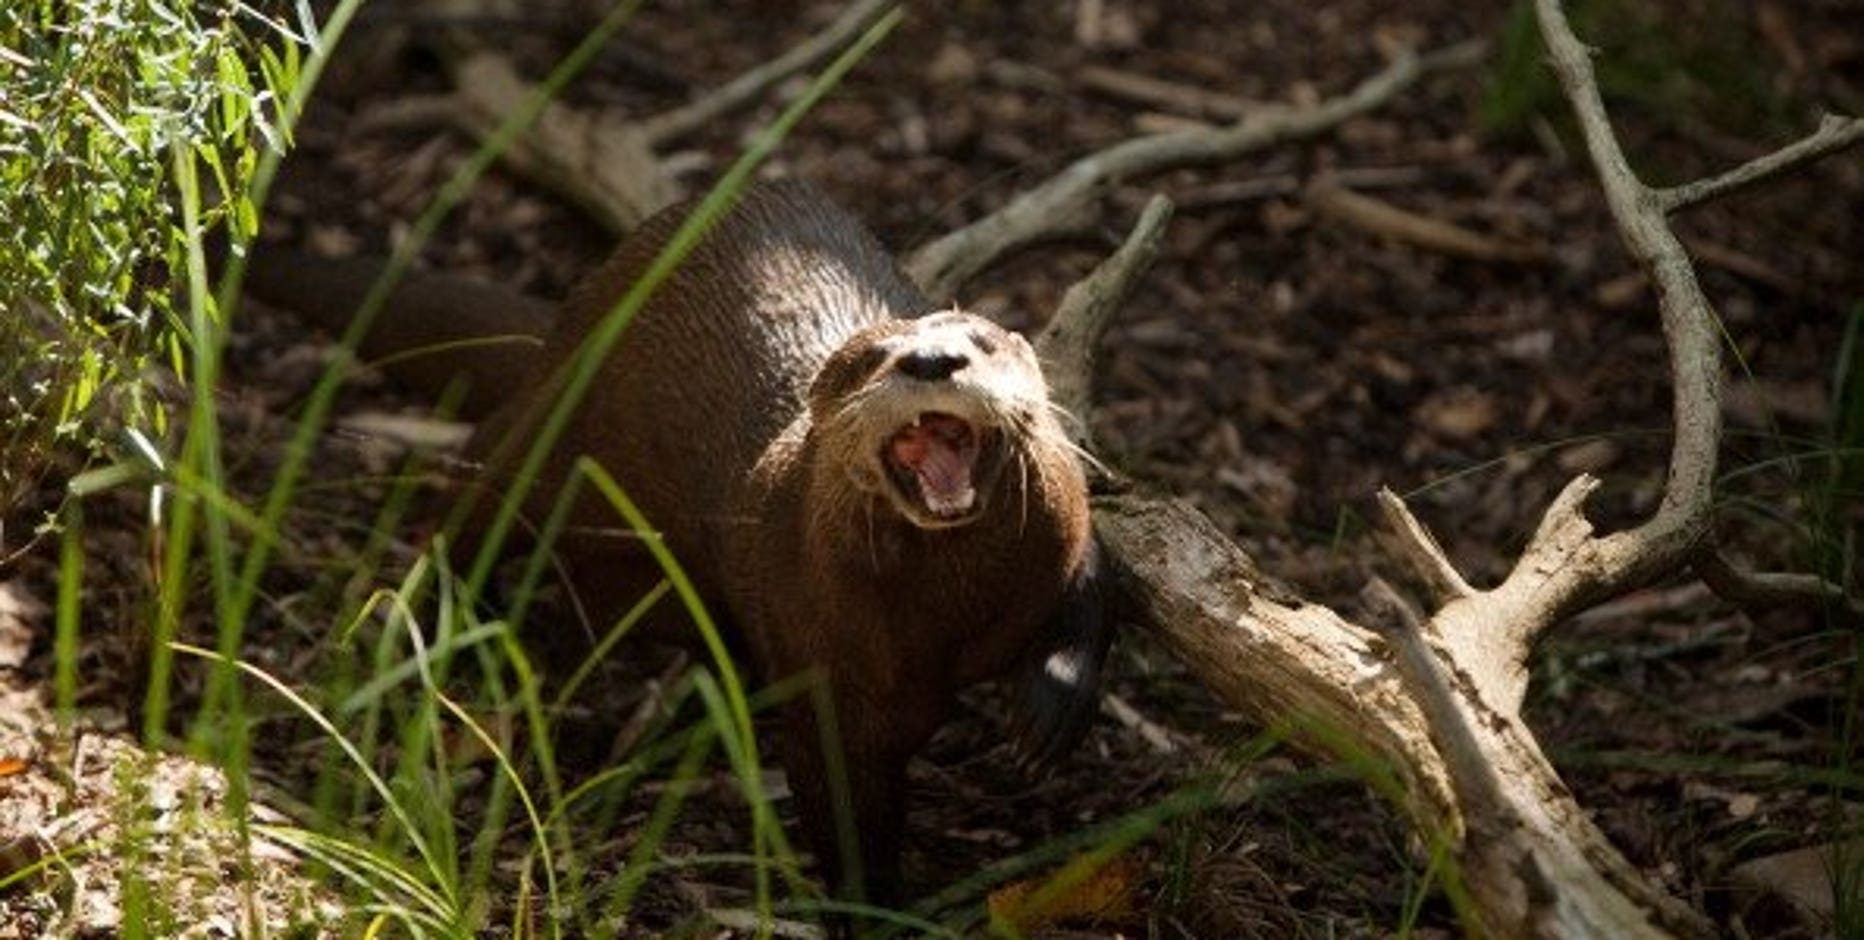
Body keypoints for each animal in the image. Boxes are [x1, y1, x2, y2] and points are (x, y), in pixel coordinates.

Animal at [244, 180, 1111, 904]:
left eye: (979, 340)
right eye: (871, 359)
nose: (932, 359)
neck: (946, 618)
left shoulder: (1069, 536)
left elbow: (1094, 597)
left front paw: (1049, 713)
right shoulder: (833, 668)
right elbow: (840, 800)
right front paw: (878, 908)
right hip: (550, 426)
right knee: (472, 496)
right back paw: (438, 614)